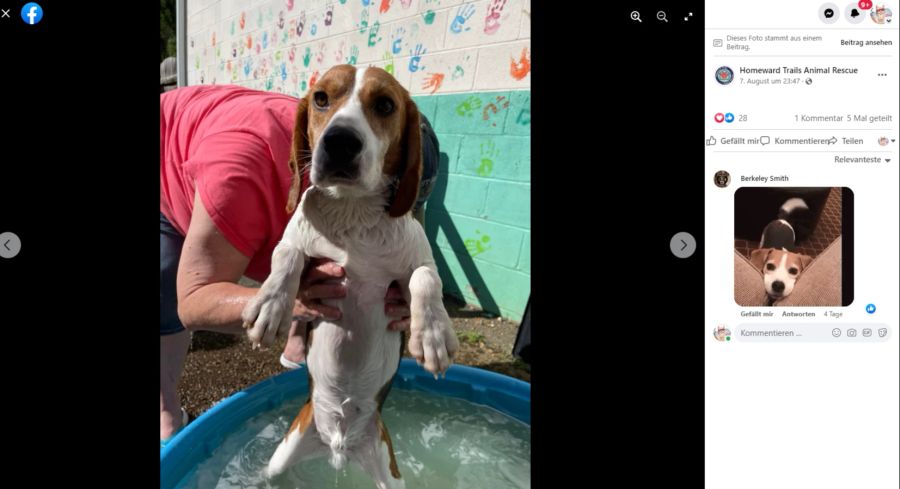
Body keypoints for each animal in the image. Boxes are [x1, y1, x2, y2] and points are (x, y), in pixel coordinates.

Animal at [239, 66, 458, 488]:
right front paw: (270, 307)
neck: (352, 212)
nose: (339, 142)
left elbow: (426, 279)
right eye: (322, 98)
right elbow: (287, 255)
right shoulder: (297, 241)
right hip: (285, 451)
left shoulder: (416, 263)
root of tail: (338, 442)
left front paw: (432, 336)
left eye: (385, 105)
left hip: (389, 472)